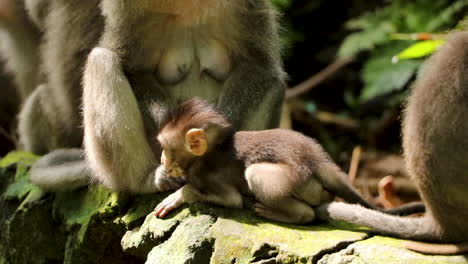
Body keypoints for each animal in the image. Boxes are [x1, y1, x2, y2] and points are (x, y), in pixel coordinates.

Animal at [0, 1, 286, 193]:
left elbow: (258, 65)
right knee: (102, 61)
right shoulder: (125, 7)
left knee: (274, 83)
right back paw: (146, 181)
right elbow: (132, 68)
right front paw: (170, 122)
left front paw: (221, 128)